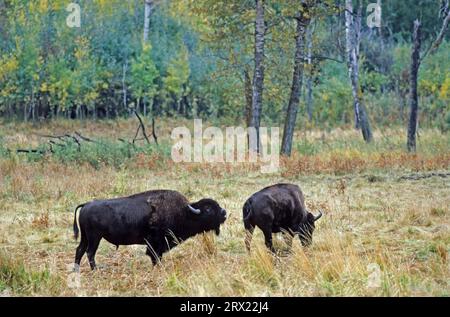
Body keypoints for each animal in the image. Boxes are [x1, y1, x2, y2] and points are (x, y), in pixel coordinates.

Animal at [74, 189, 229, 270]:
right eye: (208, 209)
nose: (224, 213)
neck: (186, 212)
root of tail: (86, 205)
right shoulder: (156, 243)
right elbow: (155, 256)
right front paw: (158, 267)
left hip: (86, 237)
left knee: (80, 250)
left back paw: (76, 270)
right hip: (95, 237)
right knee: (90, 252)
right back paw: (95, 270)